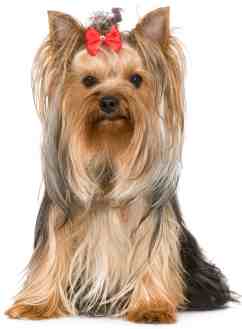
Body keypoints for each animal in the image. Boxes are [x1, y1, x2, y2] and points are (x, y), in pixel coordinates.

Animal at [5, 7, 233, 320]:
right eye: (88, 80)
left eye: (136, 79)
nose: (109, 101)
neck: (109, 152)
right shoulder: (59, 215)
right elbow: (51, 255)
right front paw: (36, 304)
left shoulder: (151, 223)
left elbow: (153, 258)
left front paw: (151, 307)